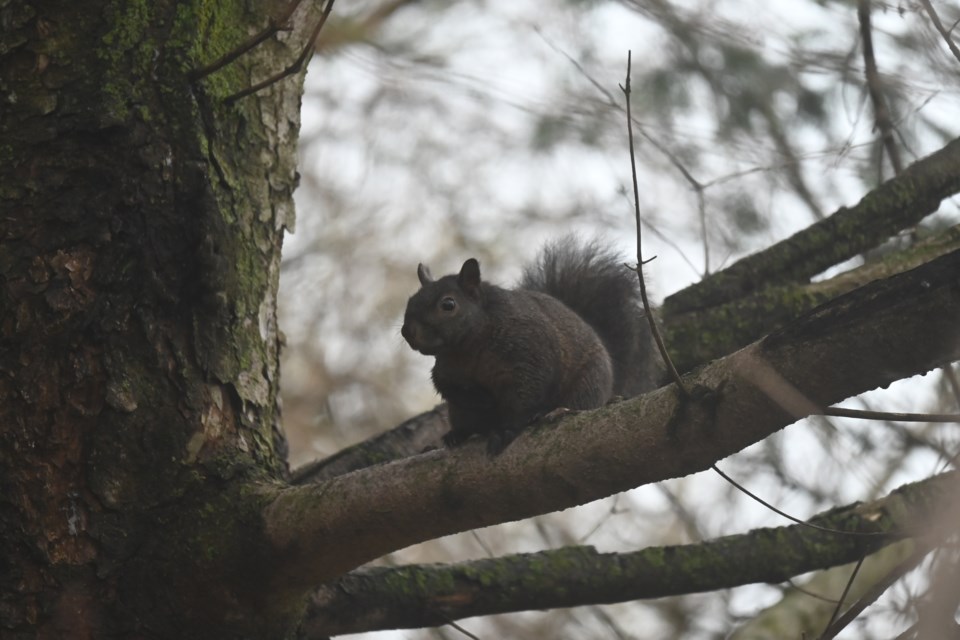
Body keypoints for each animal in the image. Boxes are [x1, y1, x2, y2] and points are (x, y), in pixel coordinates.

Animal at [400, 238, 660, 452]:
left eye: (448, 304)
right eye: (410, 300)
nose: (406, 331)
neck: (466, 348)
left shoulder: (528, 352)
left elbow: (526, 393)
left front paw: (507, 429)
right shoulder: (446, 370)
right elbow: (448, 387)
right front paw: (480, 399)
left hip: (588, 383)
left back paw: (548, 413)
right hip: (457, 413)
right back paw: (457, 435)